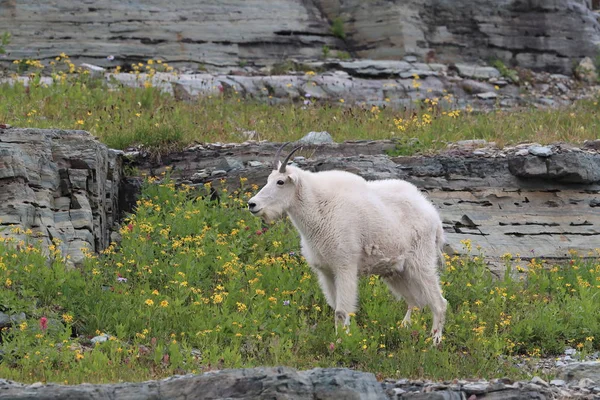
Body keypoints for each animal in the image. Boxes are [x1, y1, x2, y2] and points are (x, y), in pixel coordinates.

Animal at [246, 143, 448, 344]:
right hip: (397, 271)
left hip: (421, 261)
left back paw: (435, 340)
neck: (317, 210)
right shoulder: (326, 271)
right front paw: (342, 337)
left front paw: (341, 342)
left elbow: (341, 311)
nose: (252, 204)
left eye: (280, 182)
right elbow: (335, 307)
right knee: (415, 302)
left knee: (438, 302)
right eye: (268, 179)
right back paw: (405, 330)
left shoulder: (345, 266)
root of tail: (434, 216)